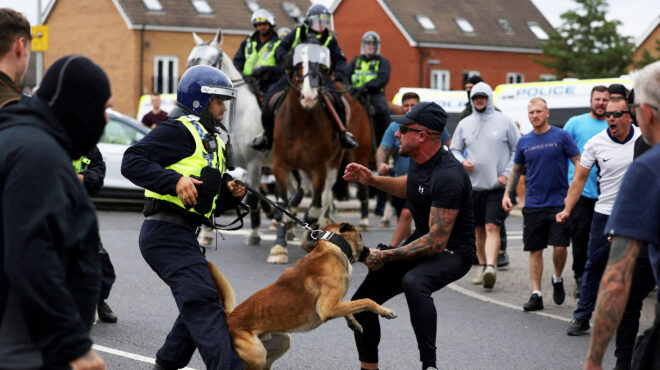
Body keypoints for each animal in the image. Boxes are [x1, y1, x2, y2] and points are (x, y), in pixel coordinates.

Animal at [208, 221, 398, 368]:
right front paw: (385, 311)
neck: (333, 246)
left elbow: (351, 307)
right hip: (256, 353)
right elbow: (366, 300)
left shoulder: (336, 304)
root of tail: (229, 318)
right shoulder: (327, 309)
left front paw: (354, 322)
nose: (372, 250)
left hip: (282, 340)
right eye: (361, 236)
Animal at [266, 42, 346, 264]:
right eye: (298, 62)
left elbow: (315, 207)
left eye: (323, 66)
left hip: (332, 164)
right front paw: (278, 247)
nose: (309, 97)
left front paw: (311, 236)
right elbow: (283, 205)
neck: (301, 121)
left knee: (325, 196)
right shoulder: (280, 166)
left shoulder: (319, 167)